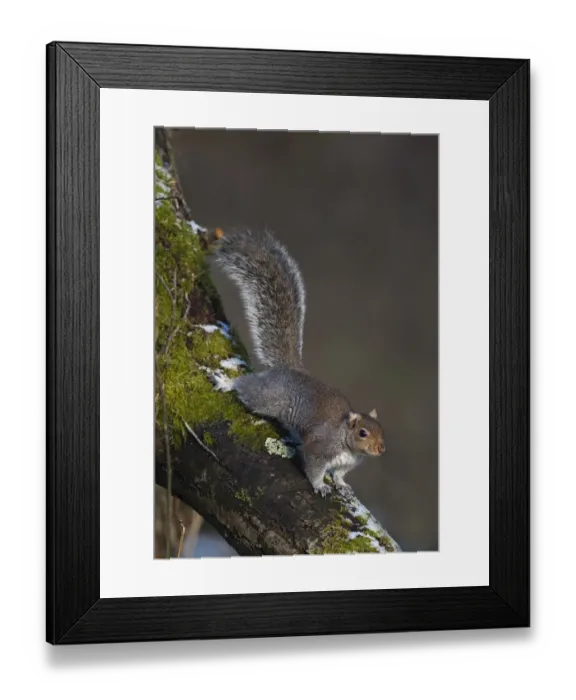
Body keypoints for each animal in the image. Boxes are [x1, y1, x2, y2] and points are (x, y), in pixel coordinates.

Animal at [211, 227, 386, 498]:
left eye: (381, 429)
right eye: (363, 432)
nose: (381, 449)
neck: (346, 442)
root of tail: (291, 369)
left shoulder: (346, 464)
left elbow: (340, 474)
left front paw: (342, 485)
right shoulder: (320, 447)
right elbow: (313, 467)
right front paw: (320, 486)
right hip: (269, 399)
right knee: (248, 389)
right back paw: (228, 383)